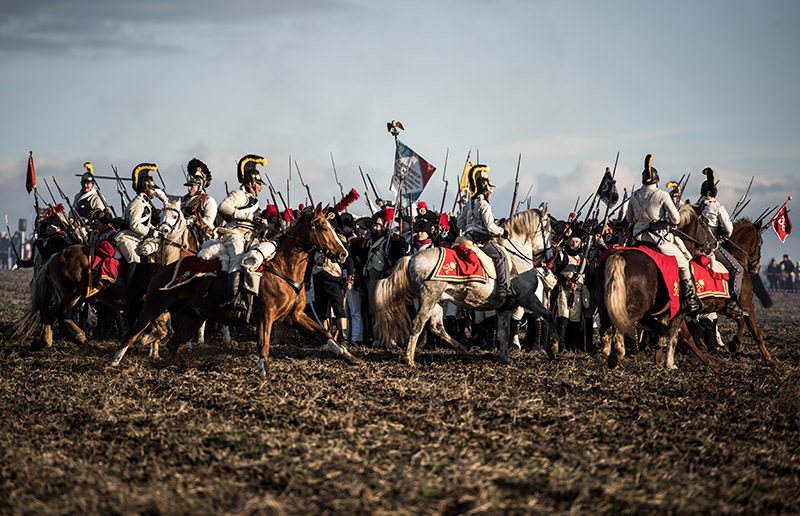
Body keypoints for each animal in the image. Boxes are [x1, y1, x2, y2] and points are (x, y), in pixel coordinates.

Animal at [108, 204, 358, 376]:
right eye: (323, 227)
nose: (343, 253)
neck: (282, 268)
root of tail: (161, 270)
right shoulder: (265, 315)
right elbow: (263, 343)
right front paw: (262, 369)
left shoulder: (294, 316)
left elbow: (324, 332)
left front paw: (348, 355)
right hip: (155, 306)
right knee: (134, 333)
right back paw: (115, 361)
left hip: (191, 318)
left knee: (173, 343)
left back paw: (183, 365)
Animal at [374, 207, 556, 366]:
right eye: (547, 230)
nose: (550, 257)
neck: (516, 257)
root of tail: (412, 258)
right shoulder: (528, 298)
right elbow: (548, 315)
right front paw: (553, 348)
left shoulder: (505, 308)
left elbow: (504, 332)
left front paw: (506, 358)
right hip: (429, 299)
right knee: (419, 324)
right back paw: (410, 358)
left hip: (438, 300)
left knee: (437, 327)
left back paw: (463, 350)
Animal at [592, 203, 720, 370]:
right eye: (704, 222)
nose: (714, 243)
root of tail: (617, 256)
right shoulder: (678, 312)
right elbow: (673, 337)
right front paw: (669, 364)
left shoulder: (660, 313)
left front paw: (659, 357)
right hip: (633, 310)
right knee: (620, 324)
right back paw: (618, 353)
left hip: (604, 307)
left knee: (606, 329)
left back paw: (608, 353)